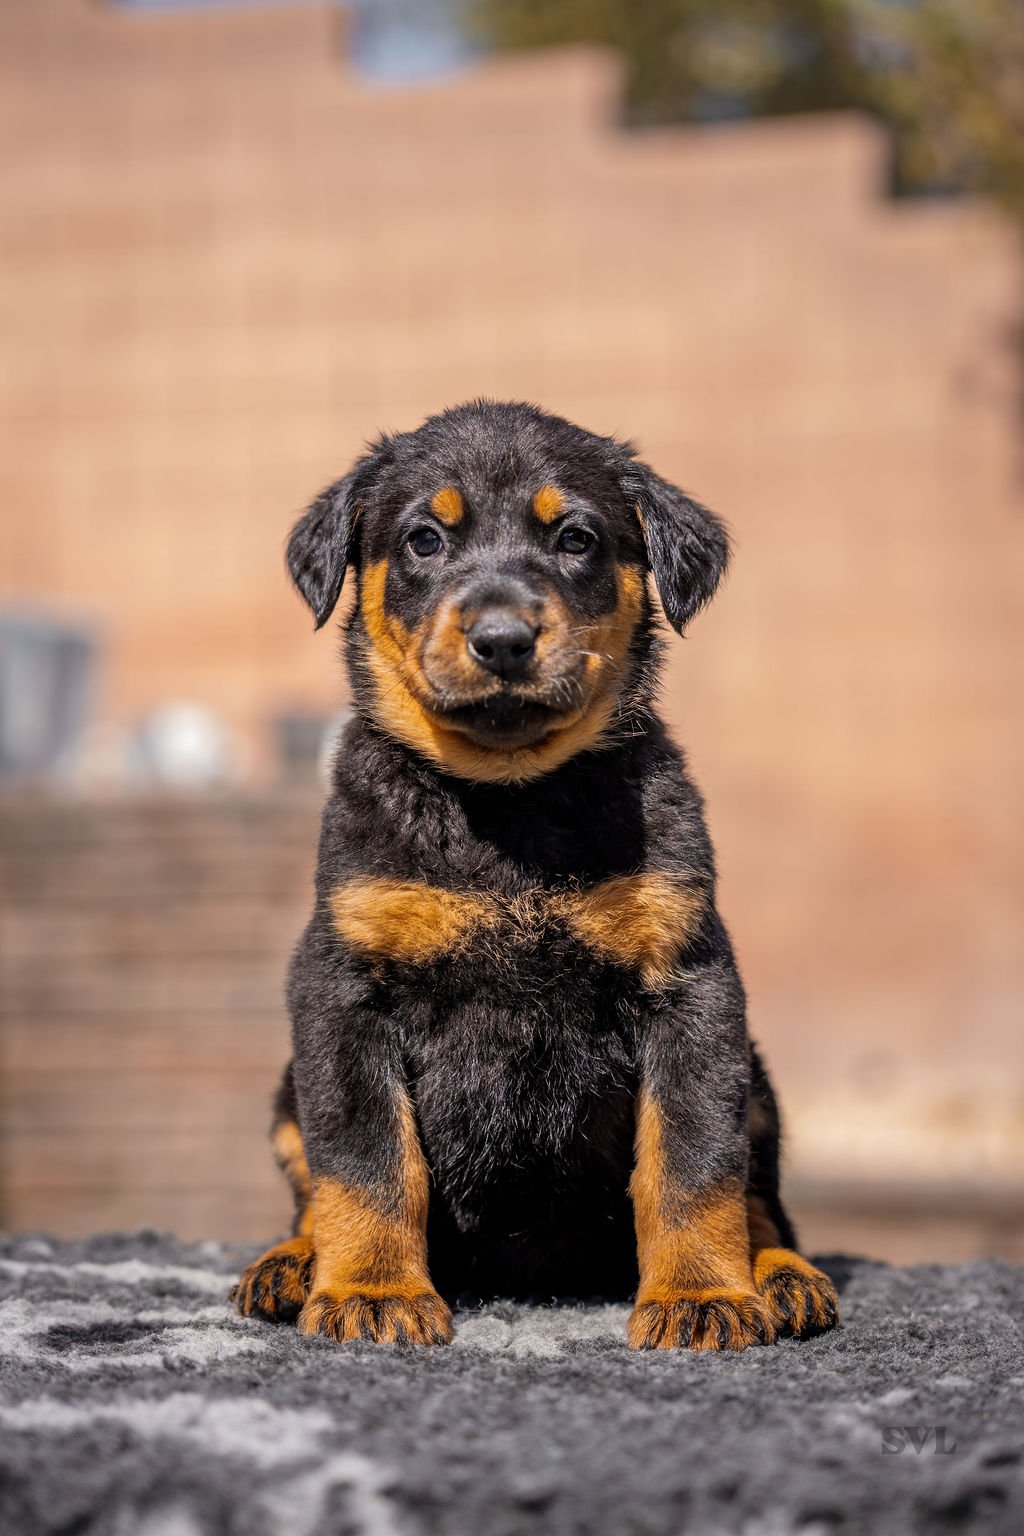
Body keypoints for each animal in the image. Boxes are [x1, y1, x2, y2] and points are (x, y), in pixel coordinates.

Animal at [232, 399, 839, 1350]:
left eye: (576, 538)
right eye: (424, 540)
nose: (503, 639)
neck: (511, 803)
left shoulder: (693, 987)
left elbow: (693, 1161)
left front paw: (700, 1296)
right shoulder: (342, 989)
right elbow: (367, 1160)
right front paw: (374, 1290)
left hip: (759, 1080)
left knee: (758, 1197)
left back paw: (778, 1275)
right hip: (289, 1093)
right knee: (312, 1190)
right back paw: (293, 1264)